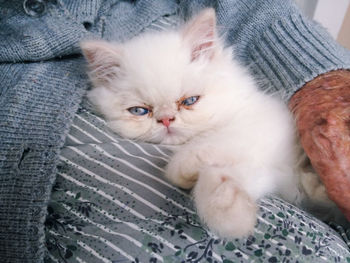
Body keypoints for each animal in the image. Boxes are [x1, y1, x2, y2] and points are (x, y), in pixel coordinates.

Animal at [81, 8, 336, 239]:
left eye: (189, 101)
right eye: (140, 111)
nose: (166, 120)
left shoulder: (264, 126)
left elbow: (216, 143)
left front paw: (185, 166)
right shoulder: (266, 172)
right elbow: (221, 181)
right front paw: (232, 214)